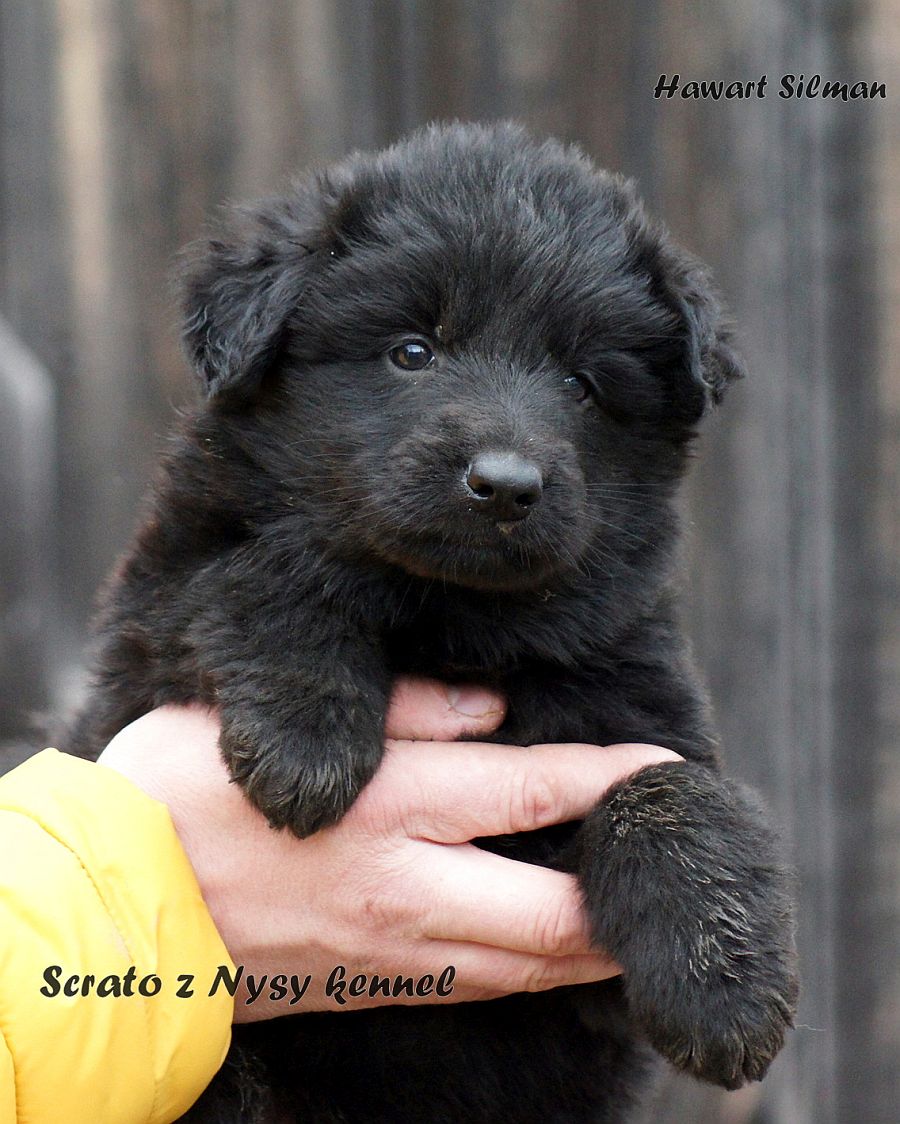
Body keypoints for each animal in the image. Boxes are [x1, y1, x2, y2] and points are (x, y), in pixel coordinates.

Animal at [69, 122, 798, 1122]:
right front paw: (306, 739)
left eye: (581, 384)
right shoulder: (147, 628)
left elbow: (667, 788)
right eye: (412, 351)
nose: (506, 484)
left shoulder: (630, 734)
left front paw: (726, 991)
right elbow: (261, 573)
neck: (452, 621)